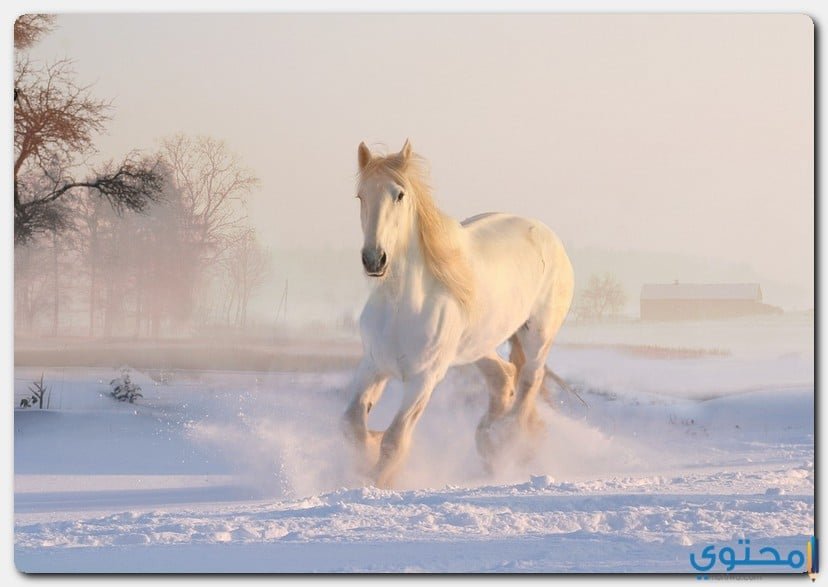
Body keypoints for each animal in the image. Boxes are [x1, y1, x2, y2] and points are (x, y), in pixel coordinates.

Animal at [342, 140, 576, 490]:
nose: (374, 259)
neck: (401, 307)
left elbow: (395, 440)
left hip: (538, 336)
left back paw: (507, 442)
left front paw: (378, 480)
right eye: (361, 195)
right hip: (478, 345)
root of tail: (548, 236)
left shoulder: (424, 379)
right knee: (504, 377)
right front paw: (368, 449)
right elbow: (352, 424)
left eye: (399, 194)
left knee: (528, 382)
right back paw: (489, 443)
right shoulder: (373, 365)